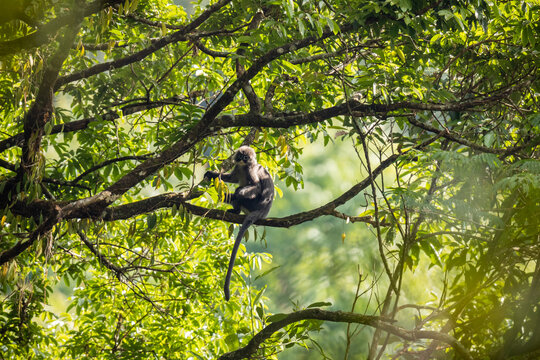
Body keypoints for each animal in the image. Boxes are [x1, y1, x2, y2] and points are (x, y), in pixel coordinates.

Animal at [206, 146, 276, 300]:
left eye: (246, 158)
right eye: (240, 156)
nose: (242, 160)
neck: (244, 167)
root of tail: (263, 211)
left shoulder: (251, 169)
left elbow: (256, 186)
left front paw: (237, 192)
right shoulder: (238, 167)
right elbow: (231, 178)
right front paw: (211, 174)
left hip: (252, 203)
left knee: (243, 193)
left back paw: (232, 197)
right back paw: (235, 209)